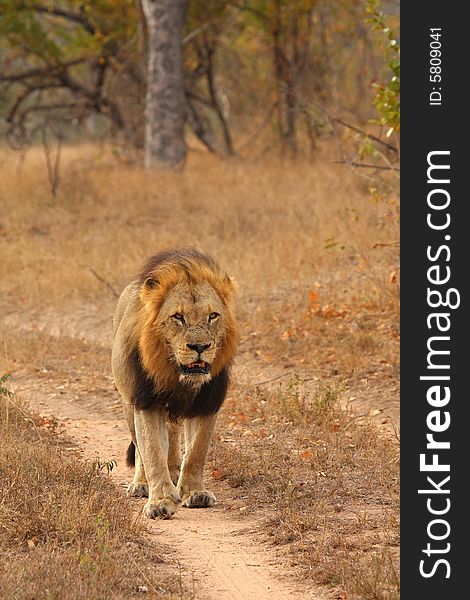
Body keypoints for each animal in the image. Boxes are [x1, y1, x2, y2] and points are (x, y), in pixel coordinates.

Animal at [111, 250, 239, 520]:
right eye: (178, 317)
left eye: (213, 316)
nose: (200, 347)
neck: (176, 375)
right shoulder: (146, 402)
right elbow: (152, 452)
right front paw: (160, 501)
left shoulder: (207, 403)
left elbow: (196, 452)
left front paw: (195, 492)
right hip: (128, 402)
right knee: (140, 447)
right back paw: (142, 484)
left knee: (172, 434)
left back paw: (173, 472)